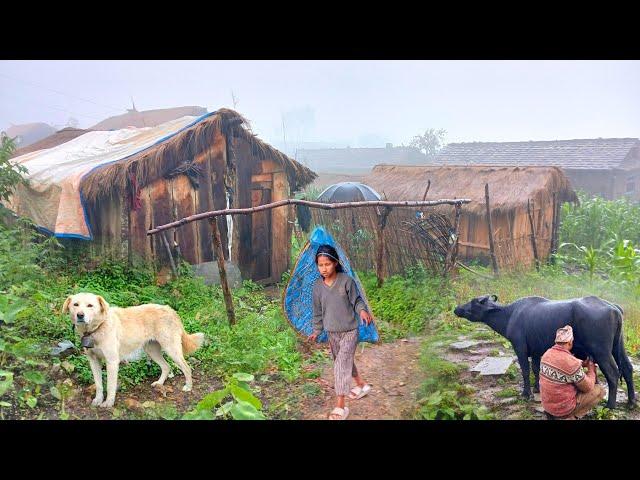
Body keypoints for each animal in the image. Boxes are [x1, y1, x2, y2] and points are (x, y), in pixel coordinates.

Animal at [62, 290, 205, 406]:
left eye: (90, 306)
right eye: (75, 304)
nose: (80, 315)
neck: (97, 329)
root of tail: (170, 309)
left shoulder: (112, 362)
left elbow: (110, 385)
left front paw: (108, 403)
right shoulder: (93, 361)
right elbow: (98, 385)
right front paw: (98, 400)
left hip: (171, 349)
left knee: (186, 368)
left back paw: (188, 386)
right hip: (152, 350)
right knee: (166, 366)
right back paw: (159, 383)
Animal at [456, 292, 636, 408]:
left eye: (473, 302)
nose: (457, 309)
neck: (509, 315)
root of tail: (613, 307)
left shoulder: (520, 349)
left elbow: (525, 371)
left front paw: (526, 393)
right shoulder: (536, 352)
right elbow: (536, 369)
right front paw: (537, 388)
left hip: (601, 351)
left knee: (613, 373)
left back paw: (610, 405)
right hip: (618, 346)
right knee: (627, 368)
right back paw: (631, 402)